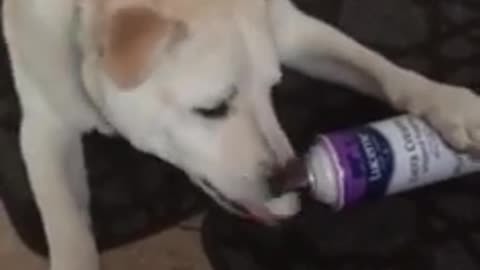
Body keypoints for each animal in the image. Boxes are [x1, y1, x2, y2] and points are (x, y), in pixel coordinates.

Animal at [2, 0, 480, 270]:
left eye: (272, 89)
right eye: (212, 108)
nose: (292, 178)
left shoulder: (288, 25)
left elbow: (377, 66)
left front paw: (450, 103)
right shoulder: (44, 128)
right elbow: (68, 230)